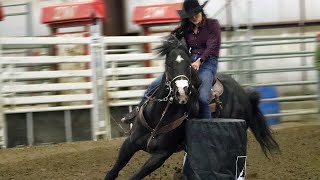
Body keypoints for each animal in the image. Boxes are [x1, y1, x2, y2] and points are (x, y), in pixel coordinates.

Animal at [104, 35, 278, 180]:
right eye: (169, 64)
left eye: (189, 65)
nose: (182, 92)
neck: (158, 117)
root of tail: (243, 93)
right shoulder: (130, 143)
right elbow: (112, 172)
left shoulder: (160, 155)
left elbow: (135, 176)